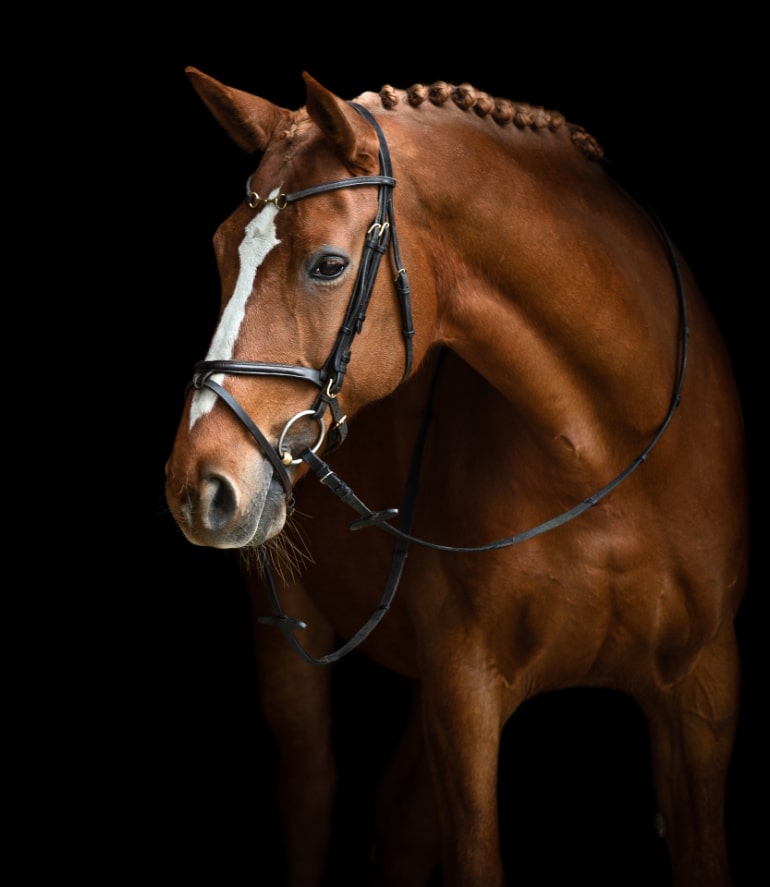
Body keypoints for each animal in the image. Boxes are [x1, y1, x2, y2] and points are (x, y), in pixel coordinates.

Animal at [165, 67, 749, 886]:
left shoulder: (702, 696)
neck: (607, 453)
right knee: (311, 794)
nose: (199, 485)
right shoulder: (464, 696)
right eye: (221, 250)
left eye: (328, 265)